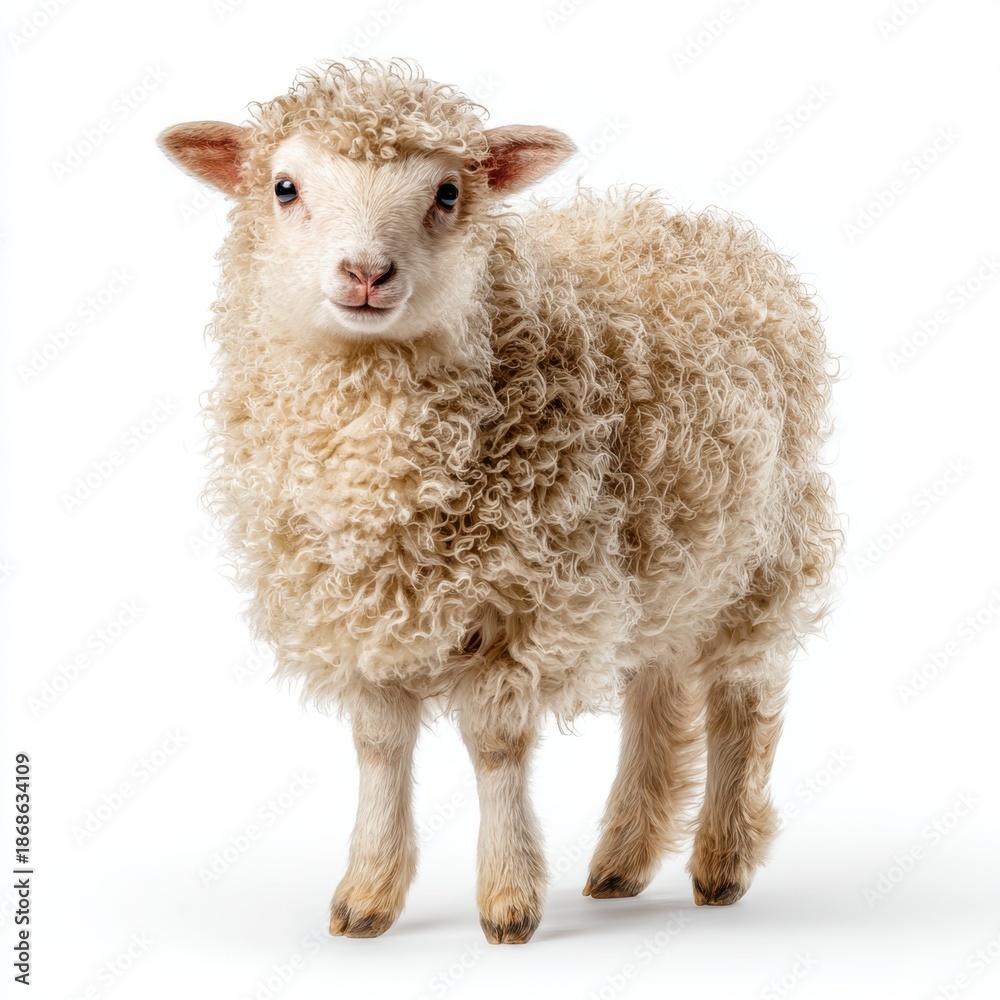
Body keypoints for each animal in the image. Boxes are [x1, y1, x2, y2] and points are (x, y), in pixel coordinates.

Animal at [157, 58, 839, 944]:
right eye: (283, 187)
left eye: (449, 192)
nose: (366, 274)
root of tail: (689, 223)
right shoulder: (364, 605)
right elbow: (379, 745)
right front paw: (366, 896)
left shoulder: (531, 599)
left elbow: (495, 745)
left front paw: (510, 900)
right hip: (664, 558)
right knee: (656, 693)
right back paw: (623, 860)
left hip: (762, 553)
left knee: (739, 698)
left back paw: (720, 862)